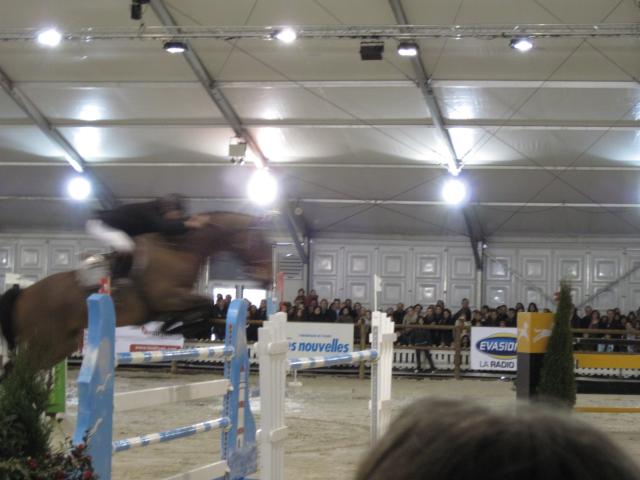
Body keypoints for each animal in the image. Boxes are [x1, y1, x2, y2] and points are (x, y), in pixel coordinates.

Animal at [0, 212, 272, 374]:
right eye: (259, 242)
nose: (268, 279)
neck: (181, 250)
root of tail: (24, 295)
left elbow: (203, 307)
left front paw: (171, 326)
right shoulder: (168, 296)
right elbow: (204, 305)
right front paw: (172, 326)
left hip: (60, 344)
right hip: (43, 341)